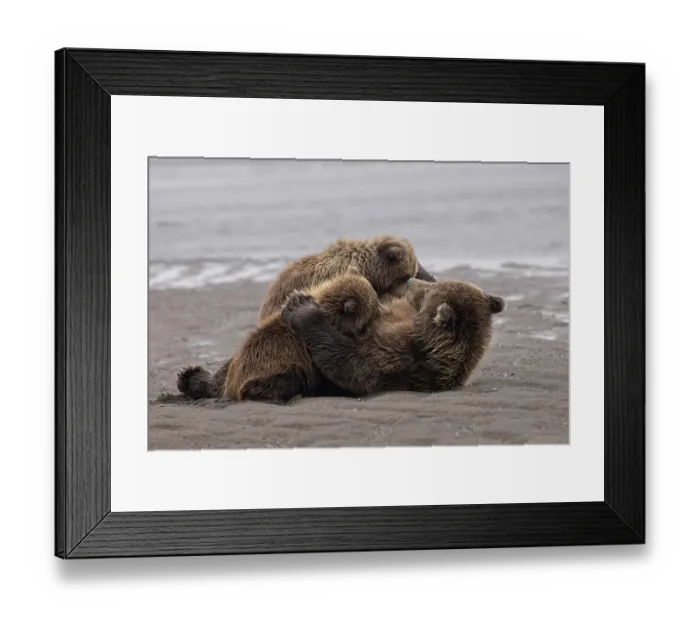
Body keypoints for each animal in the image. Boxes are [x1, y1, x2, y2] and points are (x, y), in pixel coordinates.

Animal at [176, 272, 381, 403]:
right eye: (374, 305)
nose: (382, 310)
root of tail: (231, 388)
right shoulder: (309, 352)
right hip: (274, 371)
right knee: (286, 379)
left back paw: (190, 377)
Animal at [281, 277, 505, 396]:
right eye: (436, 283)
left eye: (430, 290)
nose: (412, 280)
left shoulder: (397, 358)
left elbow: (349, 362)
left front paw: (300, 307)